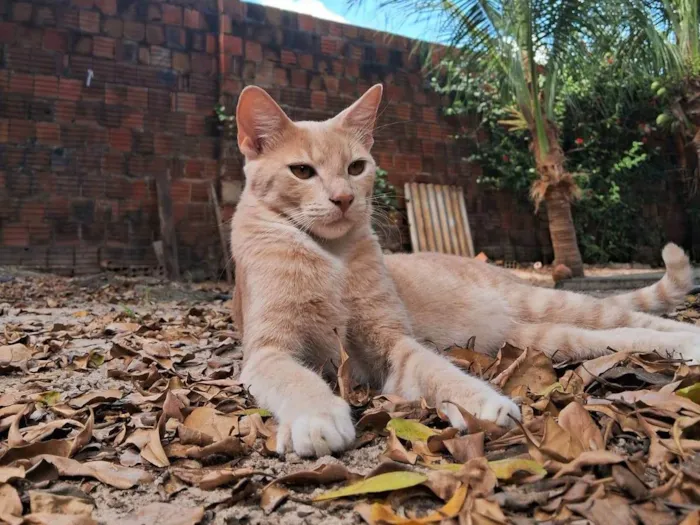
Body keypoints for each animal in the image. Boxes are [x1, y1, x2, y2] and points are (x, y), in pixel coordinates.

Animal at [231, 84, 700, 456]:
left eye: (356, 168)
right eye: (302, 171)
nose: (344, 198)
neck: (332, 256)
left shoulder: (392, 342)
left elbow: (436, 368)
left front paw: (480, 401)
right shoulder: (268, 352)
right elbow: (297, 378)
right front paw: (317, 418)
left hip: (549, 302)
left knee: (637, 318)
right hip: (543, 337)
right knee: (617, 336)